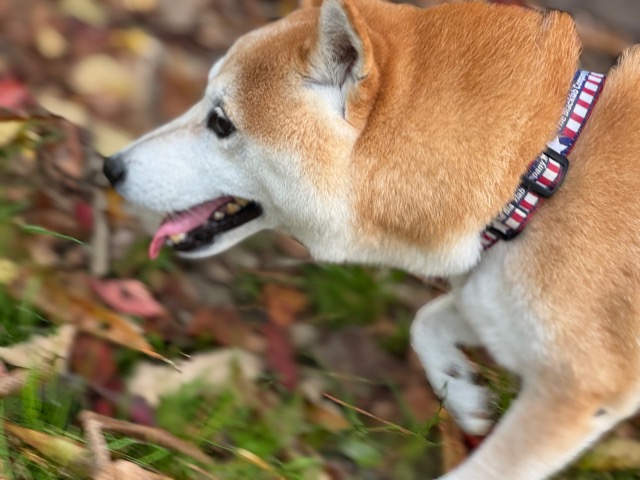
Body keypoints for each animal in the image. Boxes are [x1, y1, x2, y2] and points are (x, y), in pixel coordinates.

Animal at [102, 0, 640, 478]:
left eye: (221, 123)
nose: (110, 166)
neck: (537, 175)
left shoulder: (573, 391)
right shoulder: (494, 299)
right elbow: (425, 323)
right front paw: (461, 391)